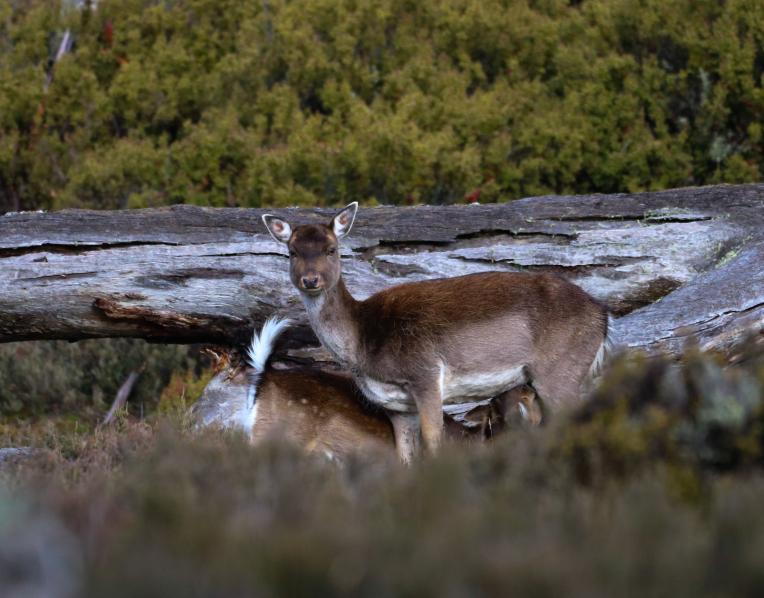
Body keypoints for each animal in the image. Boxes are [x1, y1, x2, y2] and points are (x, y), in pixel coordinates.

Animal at [262, 203, 610, 462]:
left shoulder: (426, 375)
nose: (310, 280)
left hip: (560, 370)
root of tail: (603, 316)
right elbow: (405, 456)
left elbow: (434, 444)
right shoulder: (396, 406)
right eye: (292, 252)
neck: (362, 345)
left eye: (332, 249)